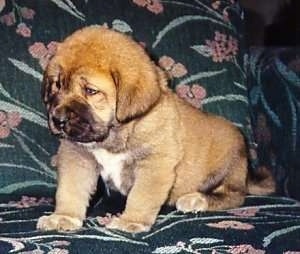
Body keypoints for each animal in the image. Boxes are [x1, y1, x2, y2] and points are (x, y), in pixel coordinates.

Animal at [36, 25, 274, 232]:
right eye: (57, 85)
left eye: (90, 91)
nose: (58, 120)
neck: (115, 134)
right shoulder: (77, 157)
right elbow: (70, 190)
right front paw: (63, 217)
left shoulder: (154, 164)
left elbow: (141, 196)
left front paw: (131, 221)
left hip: (228, 167)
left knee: (233, 196)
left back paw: (196, 199)